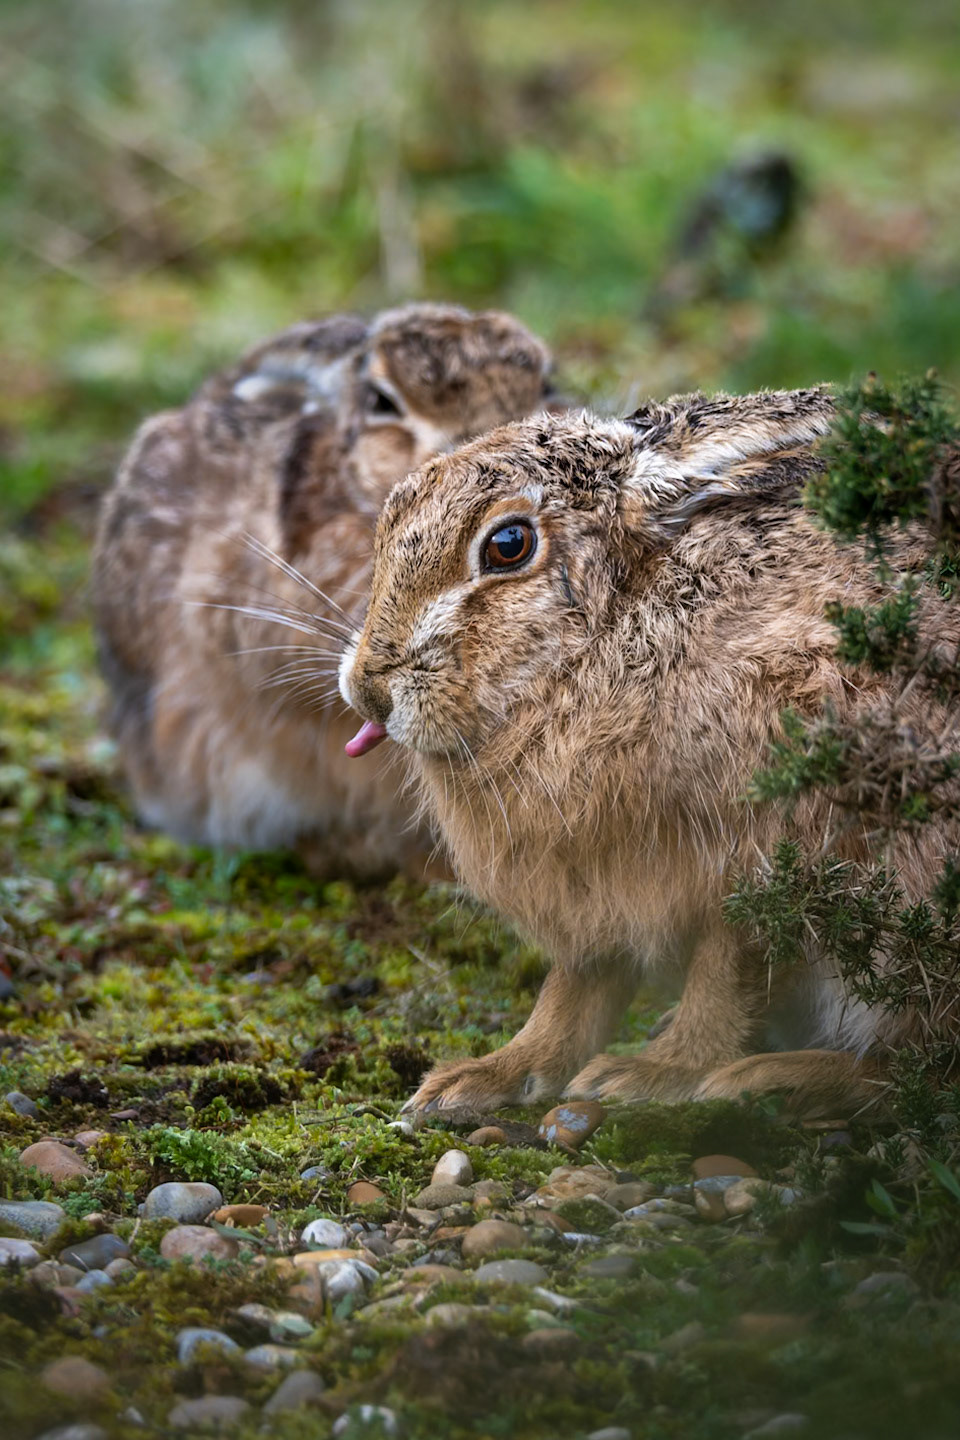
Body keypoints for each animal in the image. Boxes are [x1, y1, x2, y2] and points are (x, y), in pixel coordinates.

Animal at [339, 388, 960, 1118]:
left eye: (508, 546)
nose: (369, 691)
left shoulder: (770, 852)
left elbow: (728, 970)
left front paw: (654, 1074)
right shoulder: (594, 880)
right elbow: (579, 983)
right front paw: (489, 1076)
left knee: (917, 1069)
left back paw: (770, 1080)